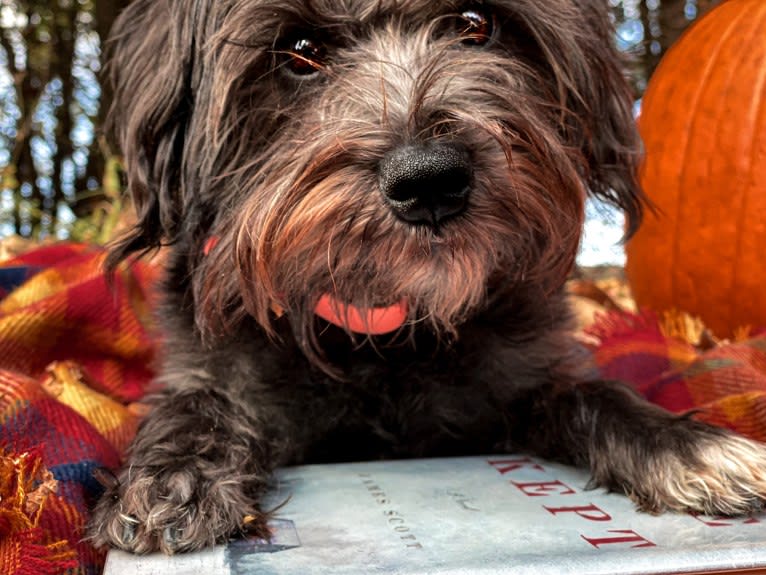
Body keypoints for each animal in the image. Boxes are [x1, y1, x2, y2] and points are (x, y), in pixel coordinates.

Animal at [88, 0, 766, 560]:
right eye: (299, 51)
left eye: (475, 23)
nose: (430, 179)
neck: (390, 328)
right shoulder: (209, 368)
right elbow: (195, 403)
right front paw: (174, 474)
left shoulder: (522, 380)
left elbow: (594, 392)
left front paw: (689, 444)